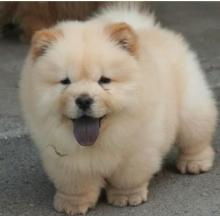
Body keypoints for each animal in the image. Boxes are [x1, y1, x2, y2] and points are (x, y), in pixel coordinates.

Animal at [19, 2, 217, 215]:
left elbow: (127, 178)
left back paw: (194, 163)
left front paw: (126, 197)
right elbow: (76, 184)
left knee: (196, 139)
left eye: (104, 80)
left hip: (191, 112)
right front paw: (72, 204)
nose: (83, 100)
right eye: (65, 81)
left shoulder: (137, 150)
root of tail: (152, 29)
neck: (98, 140)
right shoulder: (64, 158)